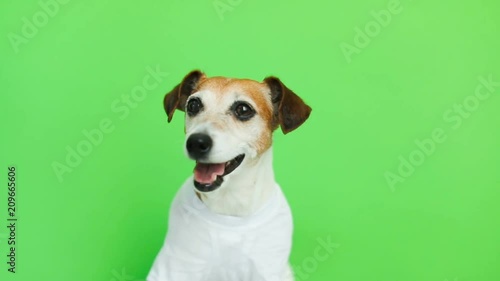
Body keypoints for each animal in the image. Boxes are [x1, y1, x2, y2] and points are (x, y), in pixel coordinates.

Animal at [146, 70, 310, 280]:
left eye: (243, 109)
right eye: (193, 105)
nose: (196, 142)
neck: (231, 204)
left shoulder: (267, 269)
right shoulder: (179, 265)